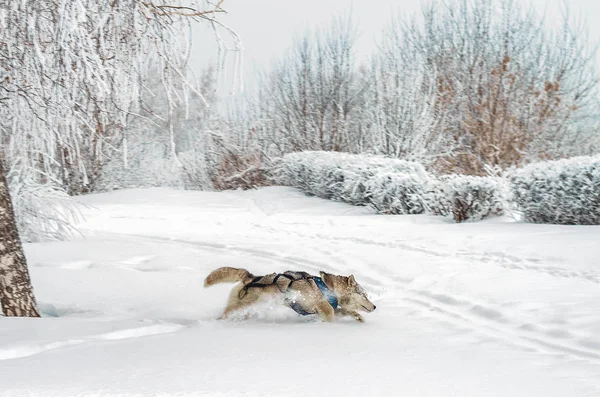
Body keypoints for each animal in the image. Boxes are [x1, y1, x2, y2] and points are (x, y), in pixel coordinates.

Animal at [204, 266, 378, 322]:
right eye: (364, 295)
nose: (375, 306)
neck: (329, 288)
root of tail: (251, 277)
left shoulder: (330, 308)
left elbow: (347, 311)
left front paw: (359, 318)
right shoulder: (325, 308)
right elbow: (331, 315)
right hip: (240, 306)